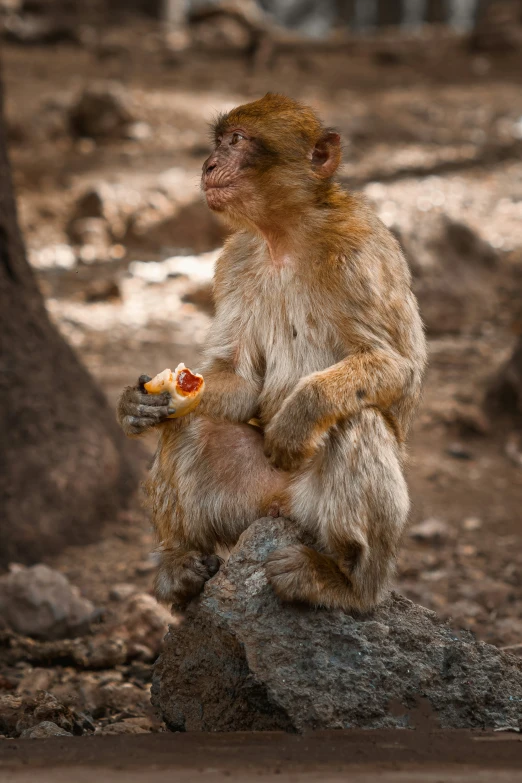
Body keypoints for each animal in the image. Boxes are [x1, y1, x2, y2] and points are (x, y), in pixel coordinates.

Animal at [119, 93, 426, 612]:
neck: (285, 234)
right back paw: (181, 562)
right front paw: (136, 403)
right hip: (248, 503)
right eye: (220, 140)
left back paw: (347, 583)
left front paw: (301, 412)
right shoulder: (234, 260)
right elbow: (236, 379)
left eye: (237, 140)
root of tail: (283, 506)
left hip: (318, 513)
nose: (209, 164)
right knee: (190, 423)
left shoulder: (361, 250)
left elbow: (399, 368)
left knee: (356, 419)